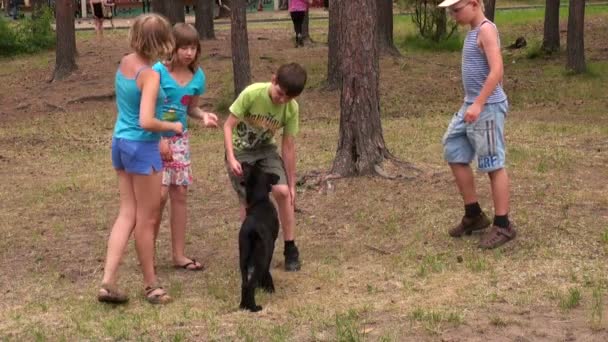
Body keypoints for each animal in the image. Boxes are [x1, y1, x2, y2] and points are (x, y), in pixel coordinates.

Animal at [240, 162, 282, 312]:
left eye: (248, 168)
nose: (243, 163)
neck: (260, 200)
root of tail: (252, 229)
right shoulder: (271, 247)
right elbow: (267, 270)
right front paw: (268, 287)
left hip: (243, 258)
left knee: (244, 283)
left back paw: (243, 306)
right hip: (261, 256)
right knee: (251, 284)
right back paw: (254, 307)